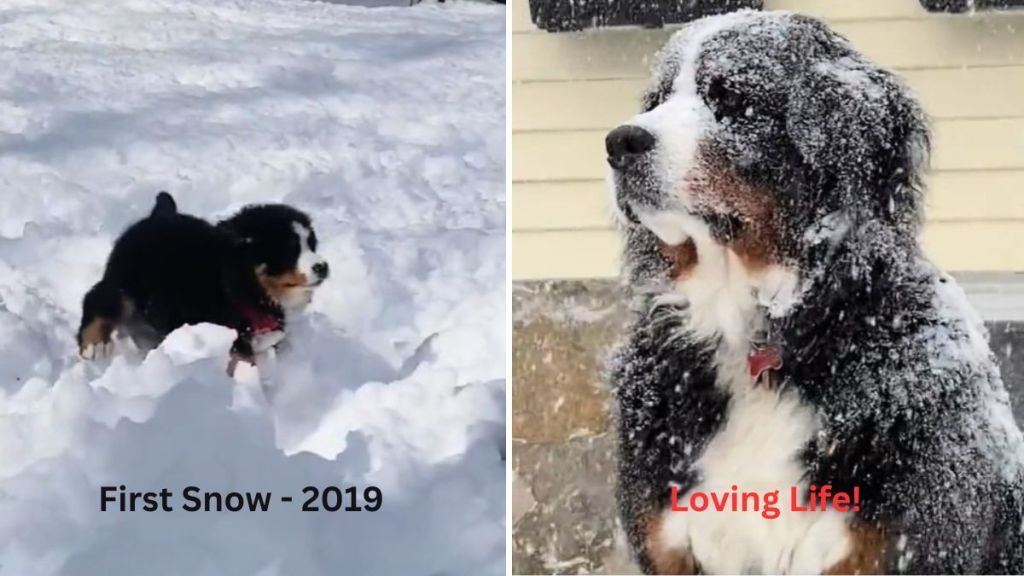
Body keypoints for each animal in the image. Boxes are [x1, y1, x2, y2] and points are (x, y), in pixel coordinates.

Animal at [79, 190, 327, 364]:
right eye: (289, 250)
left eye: (311, 244)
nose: (323, 267)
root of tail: (160, 213)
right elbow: (244, 361)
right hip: (125, 283)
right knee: (99, 299)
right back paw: (95, 345)